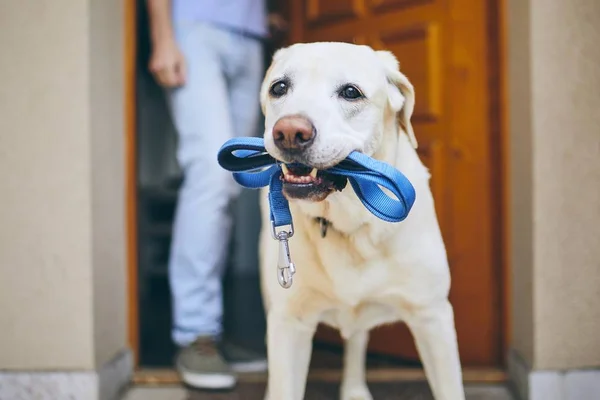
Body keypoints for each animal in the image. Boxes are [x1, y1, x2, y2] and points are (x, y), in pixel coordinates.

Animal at [258, 41, 464, 400]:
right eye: (279, 88)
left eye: (351, 92)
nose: (289, 131)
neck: (351, 223)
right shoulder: (290, 321)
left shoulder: (433, 316)